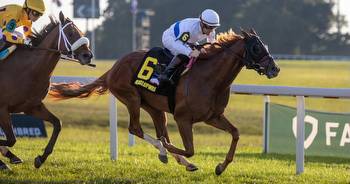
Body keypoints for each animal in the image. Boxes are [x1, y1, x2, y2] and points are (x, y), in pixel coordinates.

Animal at [0, 11, 92, 170]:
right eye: (71, 33)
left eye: (81, 31)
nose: (88, 55)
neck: (29, 70)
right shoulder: (3, 108)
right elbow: (11, 139)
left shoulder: (32, 107)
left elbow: (57, 124)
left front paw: (40, 159)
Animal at [49, 29, 280, 175]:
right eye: (256, 48)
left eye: (265, 45)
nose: (275, 68)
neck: (210, 78)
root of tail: (114, 67)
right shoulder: (182, 118)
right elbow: (189, 148)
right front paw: (169, 148)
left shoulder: (213, 116)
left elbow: (235, 133)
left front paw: (221, 167)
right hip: (131, 97)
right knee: (136, 129)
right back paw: (164, 150)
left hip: (154, 108)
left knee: (157, 129)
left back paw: (179, 159)